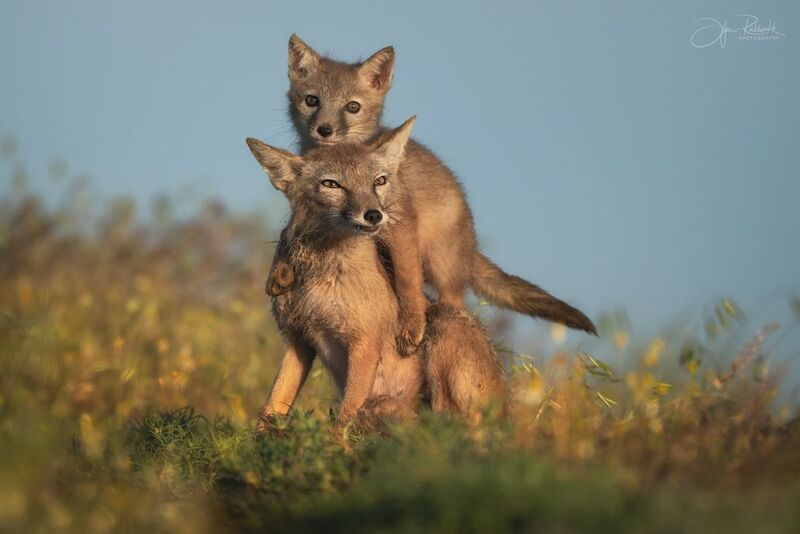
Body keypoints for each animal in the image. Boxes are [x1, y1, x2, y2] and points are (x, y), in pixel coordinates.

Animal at [247, 119, 505, 425]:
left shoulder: (364, 344)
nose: (373, 214)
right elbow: (271, 408)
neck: (321, 271)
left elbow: (342, 419)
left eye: (378, 182)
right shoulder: (298, 341)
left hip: (444, 325)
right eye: (331, 184)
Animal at [267, 34, 596, 356]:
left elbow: (407, 283)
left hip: (439, 266)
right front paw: (279, 271)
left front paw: (411, 327)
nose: (325, 130)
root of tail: (471, 242)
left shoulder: (399, 224)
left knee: (452, 304)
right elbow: (288, 230)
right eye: (312, 100)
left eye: (352, 107)